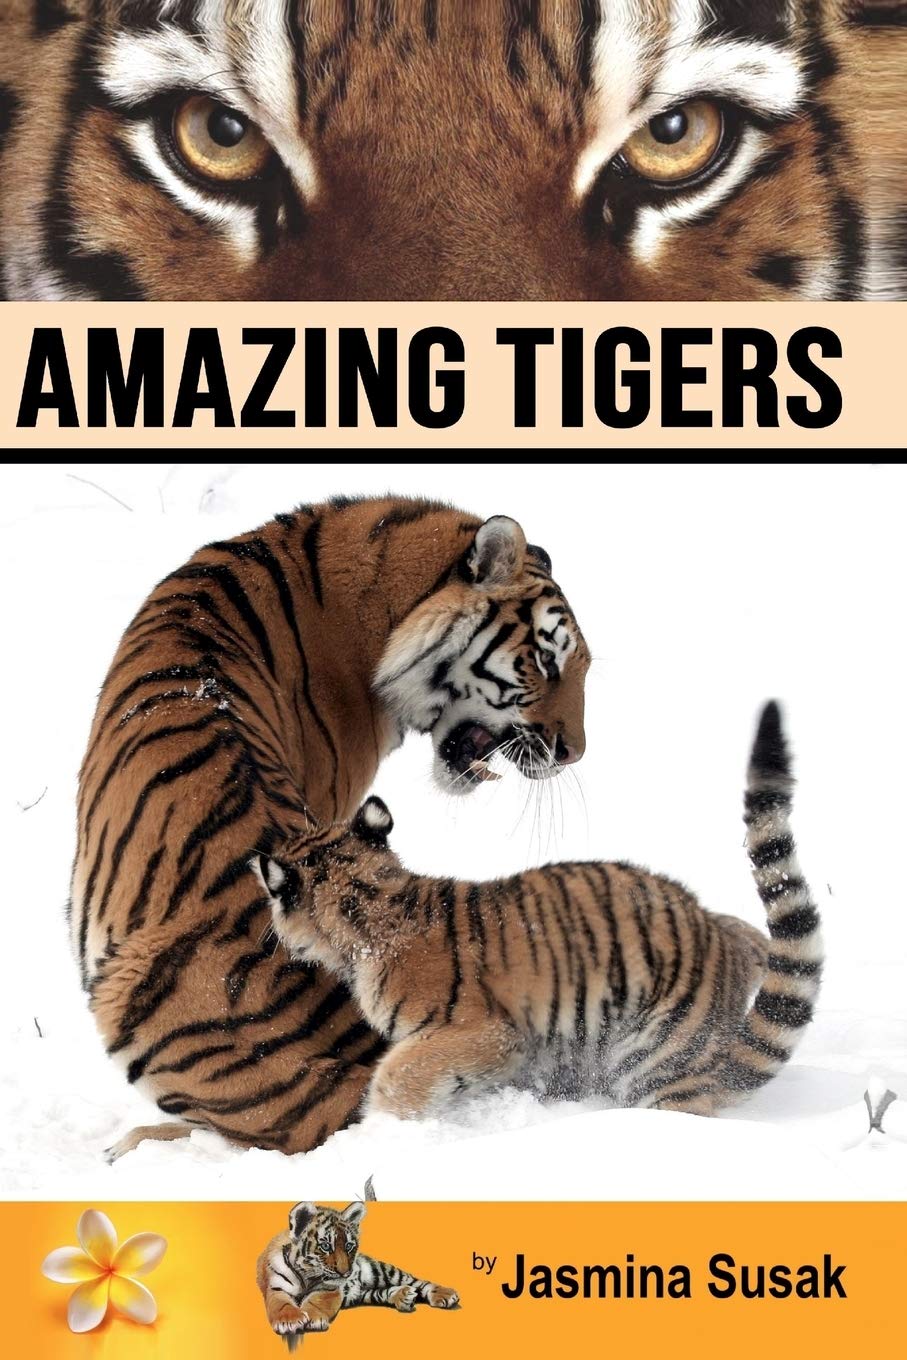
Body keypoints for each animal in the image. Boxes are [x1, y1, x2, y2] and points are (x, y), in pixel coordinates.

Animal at [256, 1199, 459, 1345]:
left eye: (348, 1246)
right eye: (325, 1246)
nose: (346, 1273)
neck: (307, 1276)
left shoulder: (328, 1289)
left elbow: (316, 1302)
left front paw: (312, 1318)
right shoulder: (276, 1288)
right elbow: (282, 1305)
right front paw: (290, 1321)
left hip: (381, 1271)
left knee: (417, 1281)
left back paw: (444, 1294)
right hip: (363, 1294)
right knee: (382, 1292)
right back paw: (403, 1297)